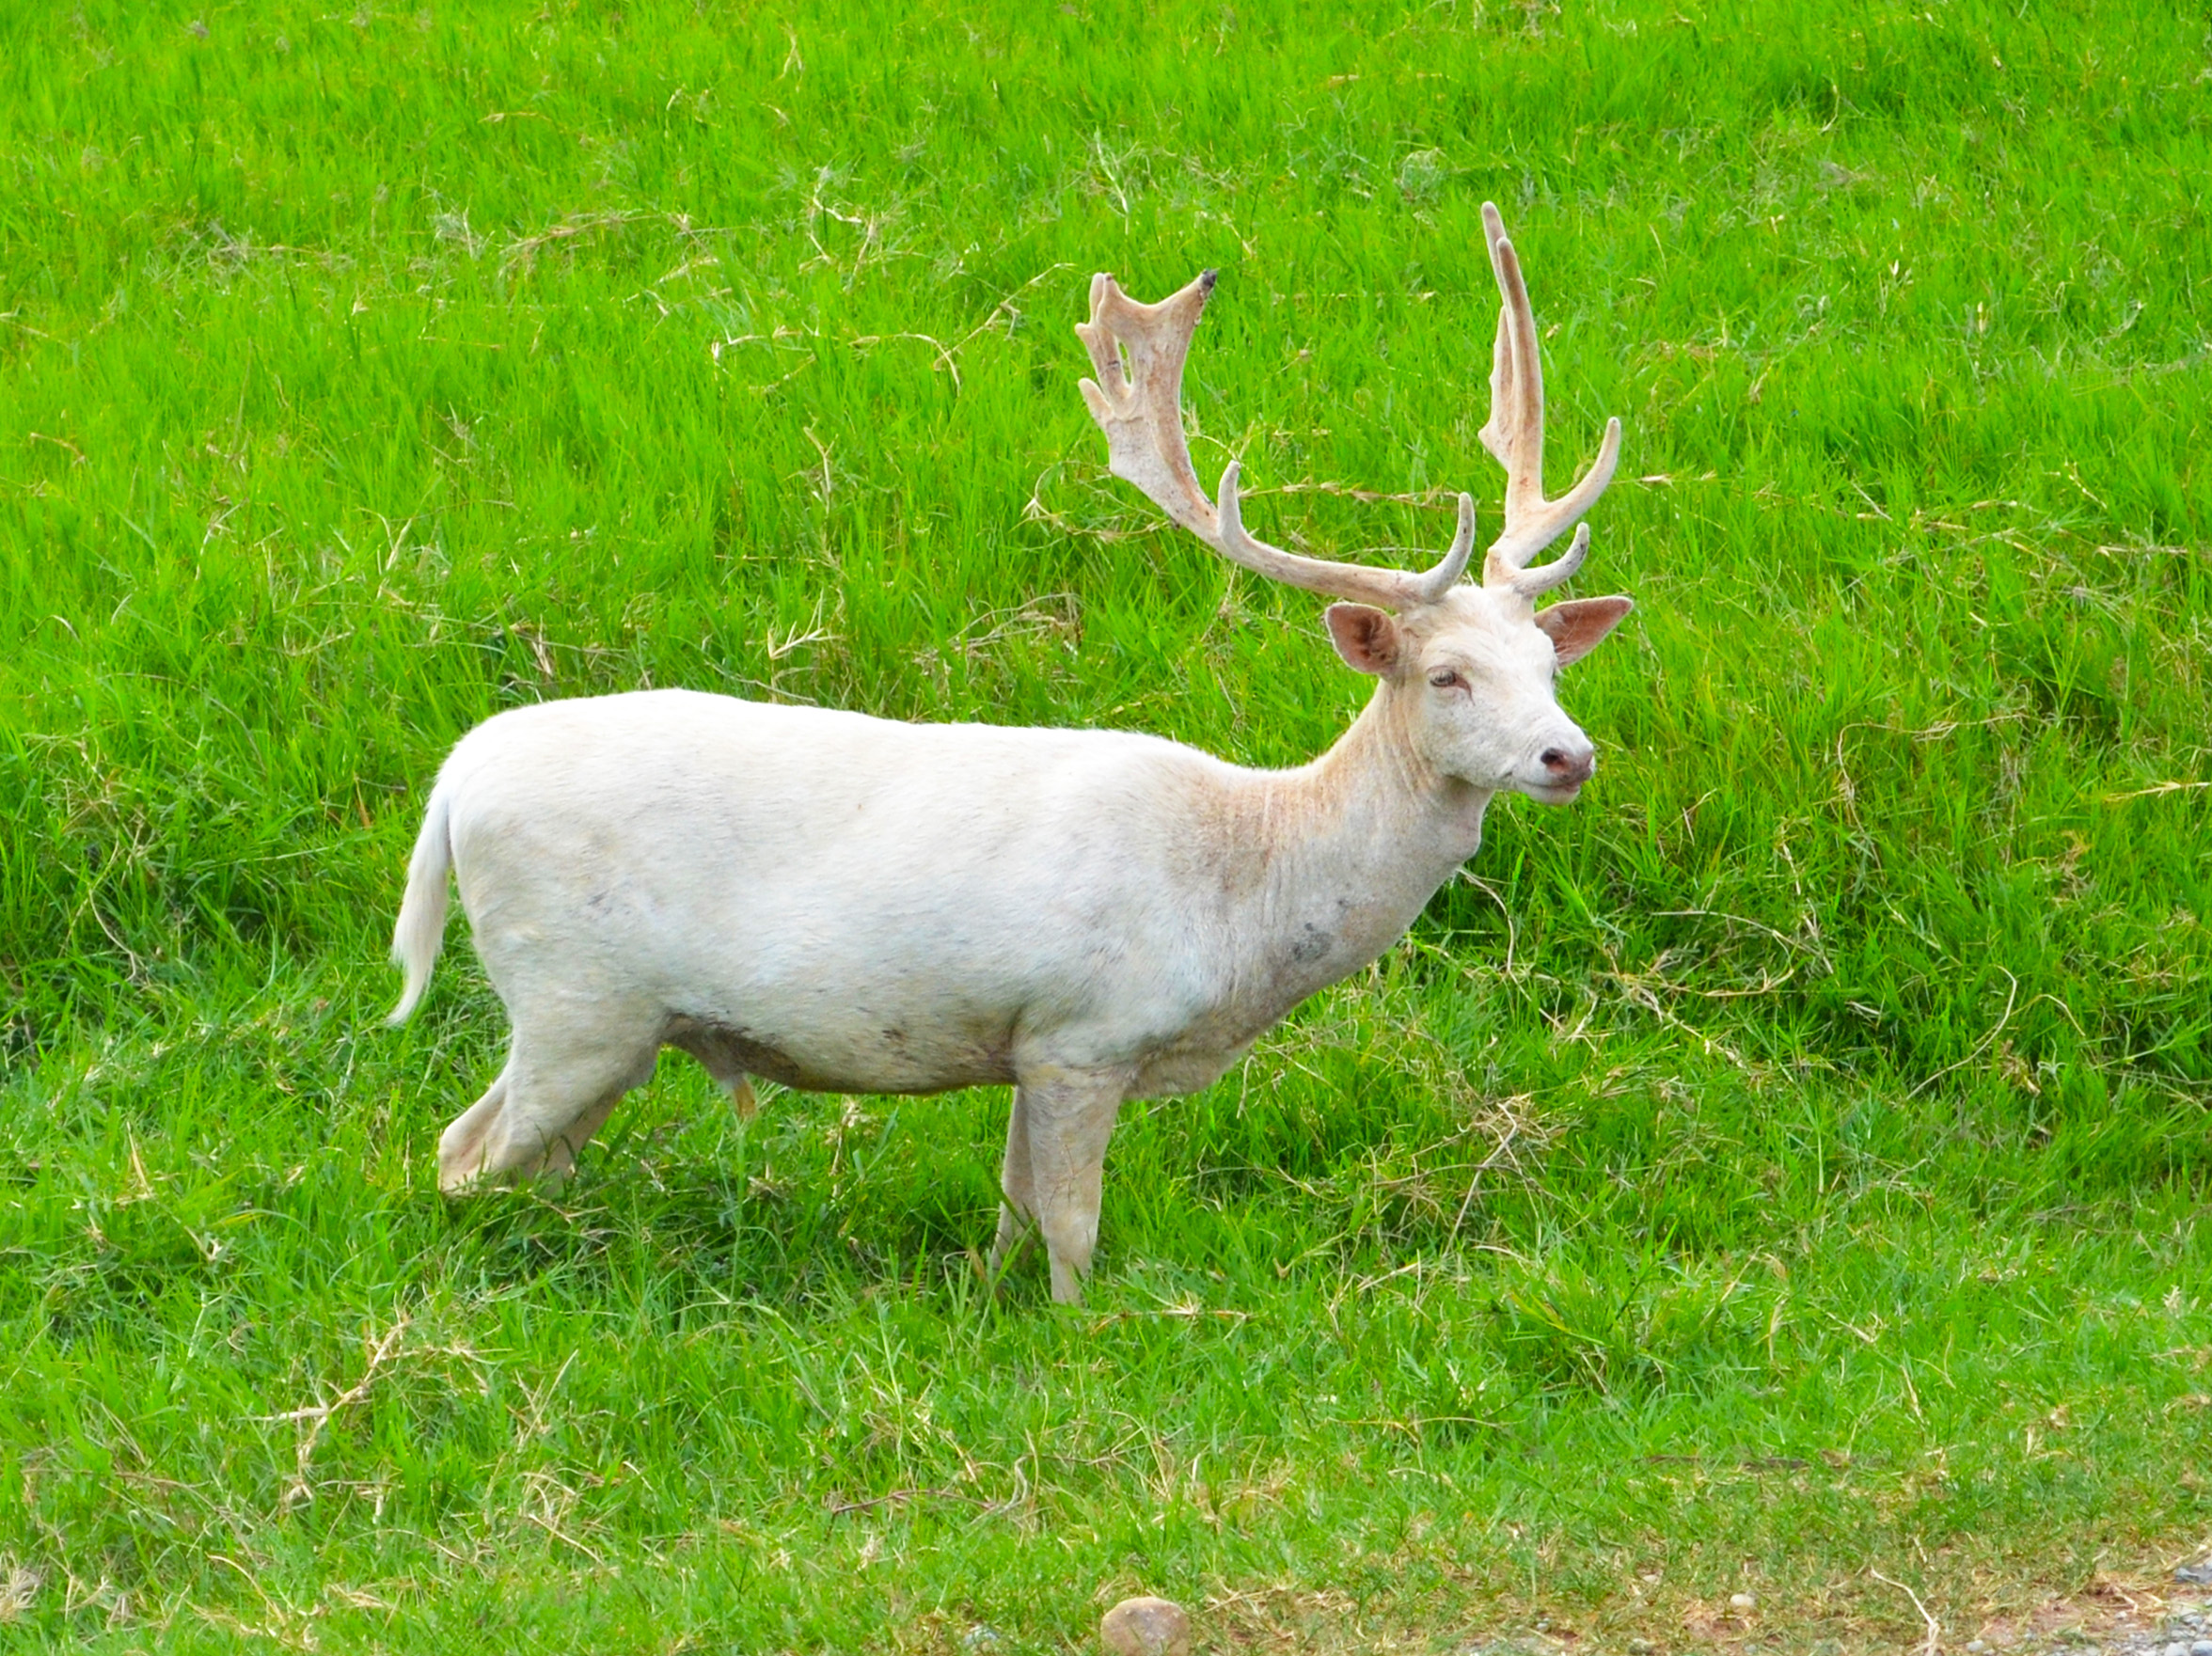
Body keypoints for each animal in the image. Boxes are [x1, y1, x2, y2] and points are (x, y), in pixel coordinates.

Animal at [386, 203, 1631, 1304]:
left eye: (1547, 662)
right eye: (1446, 675)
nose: (1566, 757)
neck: (1247, 895)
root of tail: (451, 785)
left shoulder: (1031, 1046)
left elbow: (1012, 1210)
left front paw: (989, 1296)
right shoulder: (1085, 1032)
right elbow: (1071, 1225)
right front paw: (1084, 1336)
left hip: (612, 1022)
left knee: (518, 1159)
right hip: (572, 992)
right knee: (462, 1153)